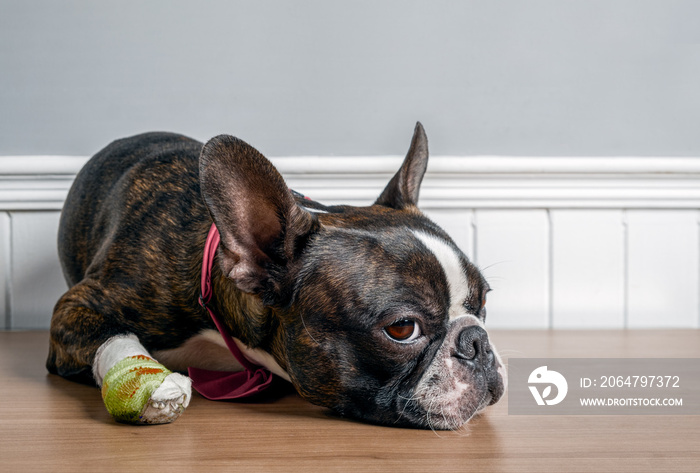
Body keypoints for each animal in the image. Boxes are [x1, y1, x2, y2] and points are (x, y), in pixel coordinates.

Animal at [46, 121, 506, 428]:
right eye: (402, 329)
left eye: (483, 303)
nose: (477, 341)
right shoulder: (78, 305)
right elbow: (114, 334)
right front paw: (154, 388)